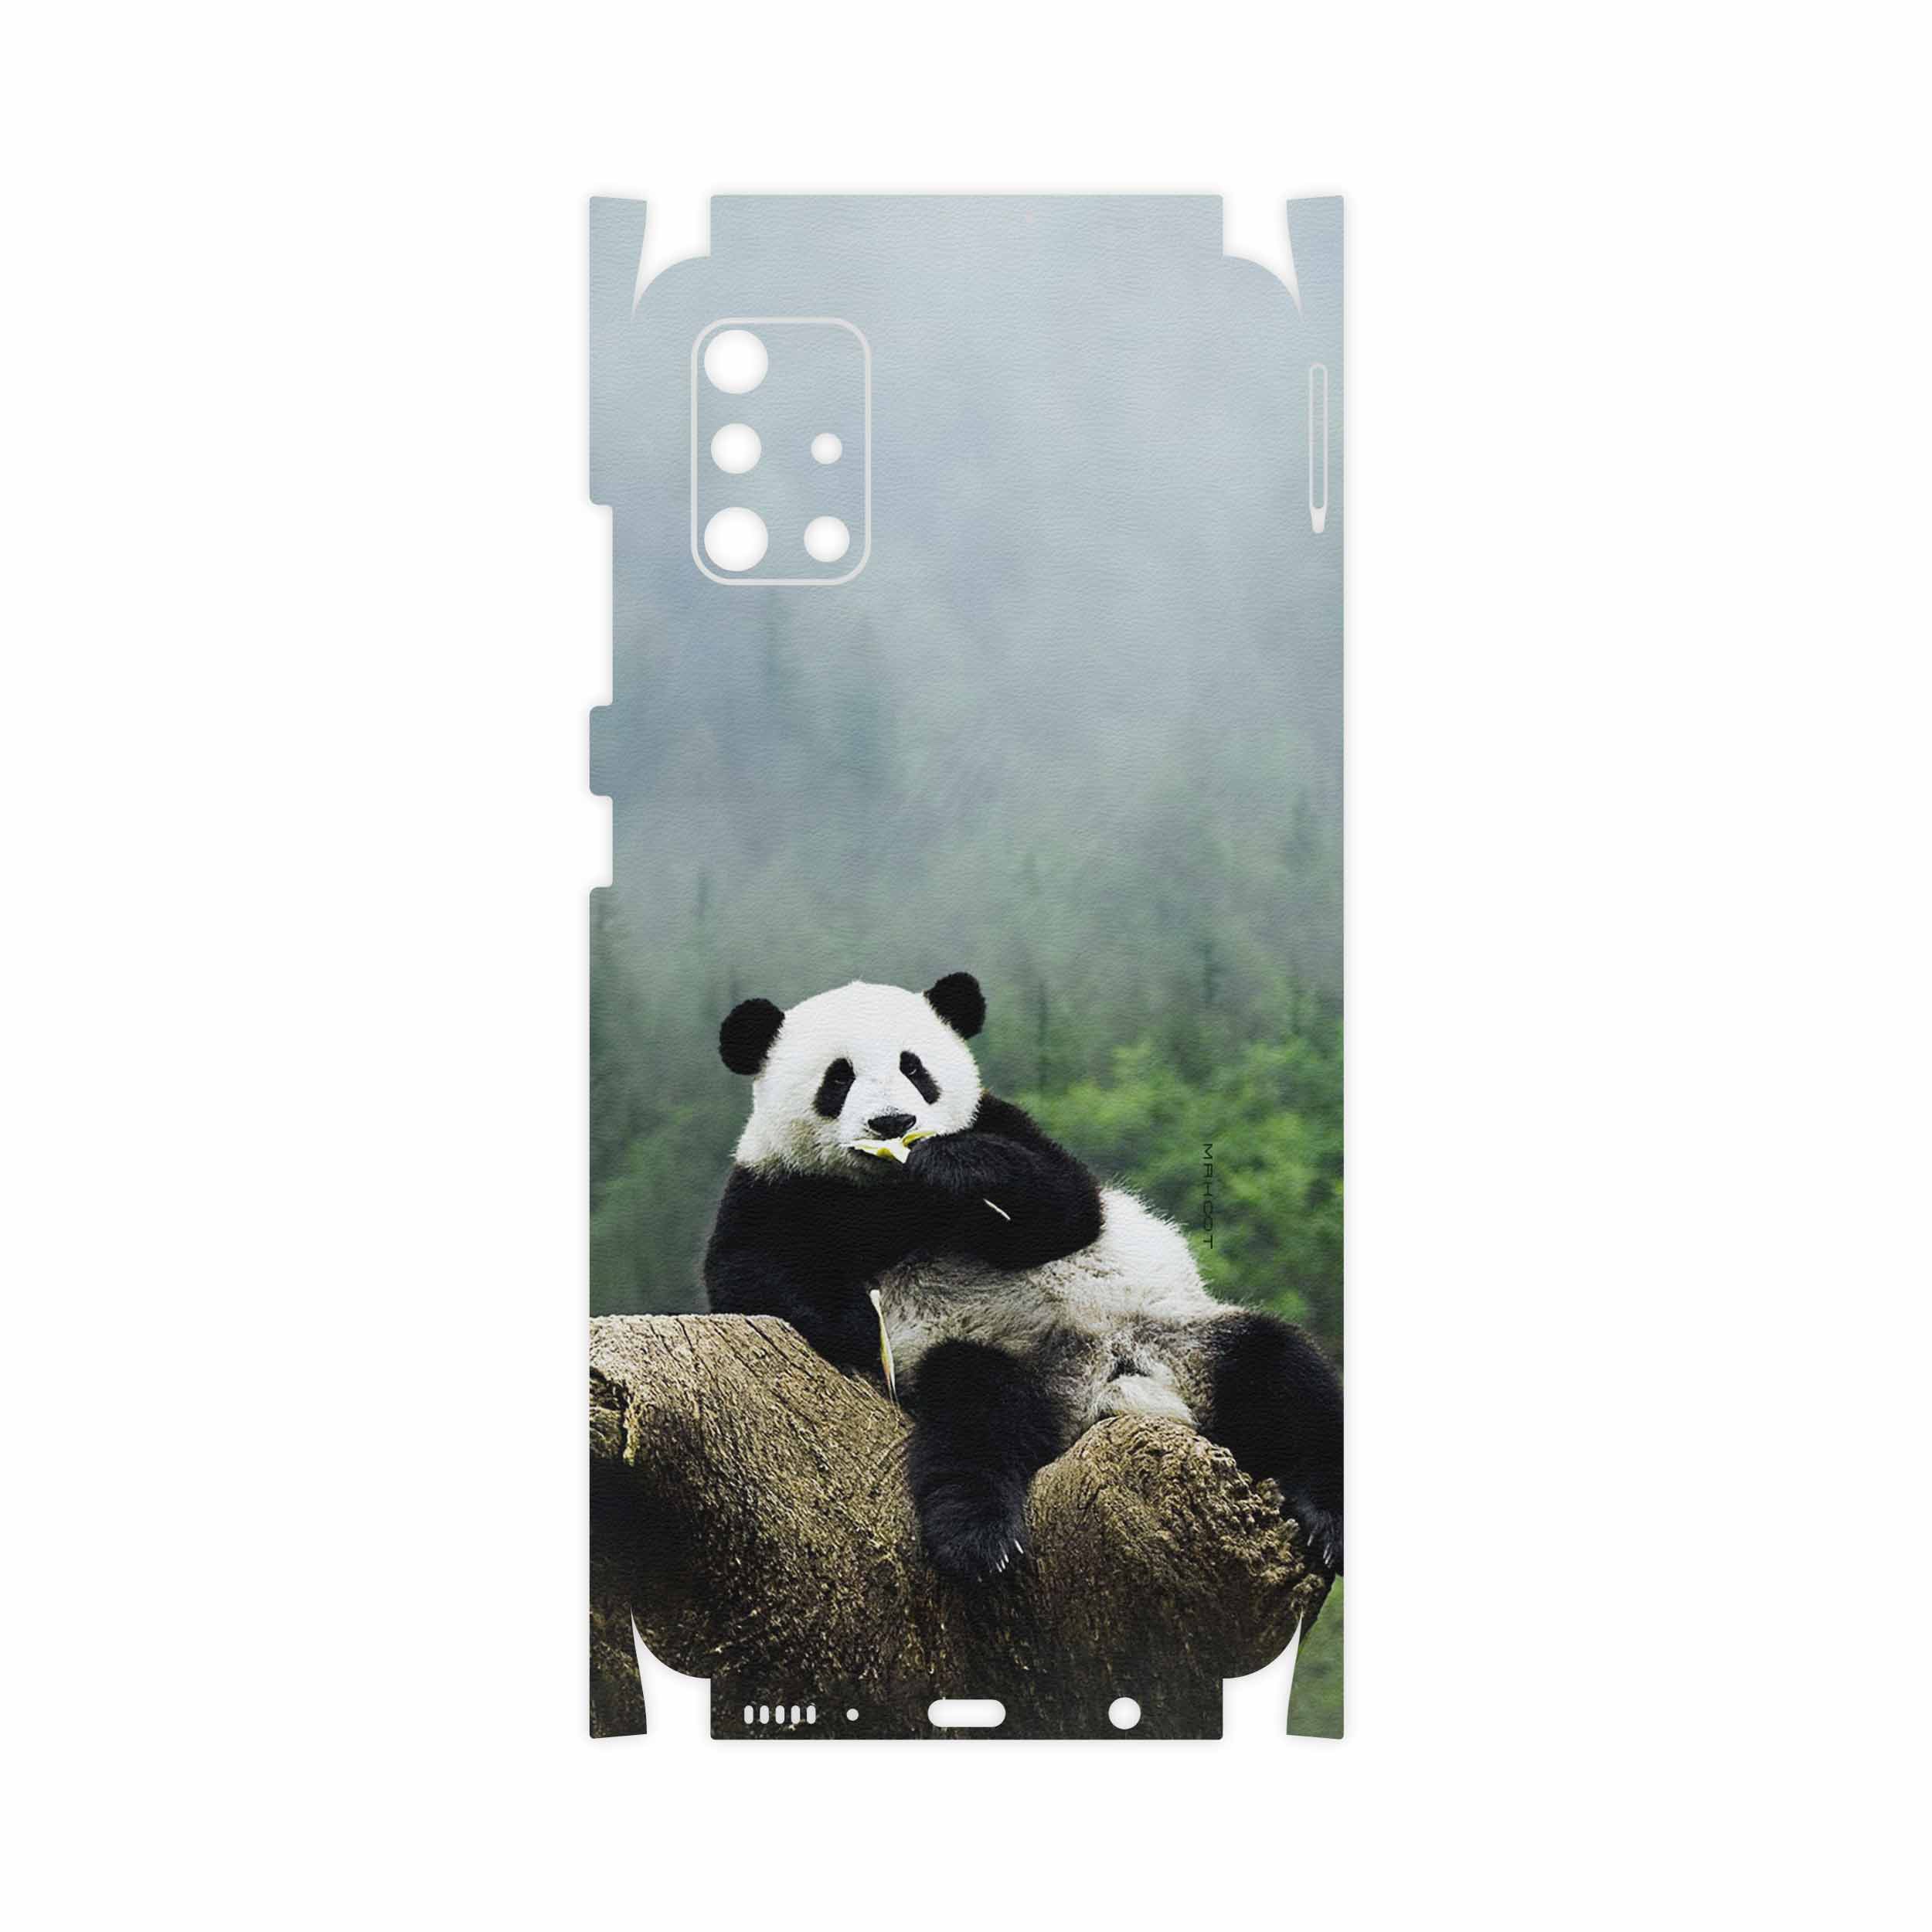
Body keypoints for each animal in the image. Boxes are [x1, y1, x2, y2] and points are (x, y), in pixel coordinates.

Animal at [704, 972, 1343, 1583]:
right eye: (838, 1078)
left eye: (915, 1068)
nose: (893, 1122)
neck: (890, 1190)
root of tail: (1103, 1390)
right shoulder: (776, 1185)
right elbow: (746, 1273)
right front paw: (862, 1323)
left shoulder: (1002, 1123)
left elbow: (1068, 1209)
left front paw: (955, 1167)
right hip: (990, 1356)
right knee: (975, 1418)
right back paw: (979, 1538)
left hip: (1181, 1338)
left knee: (1284, 1372)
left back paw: (1325, 1517)